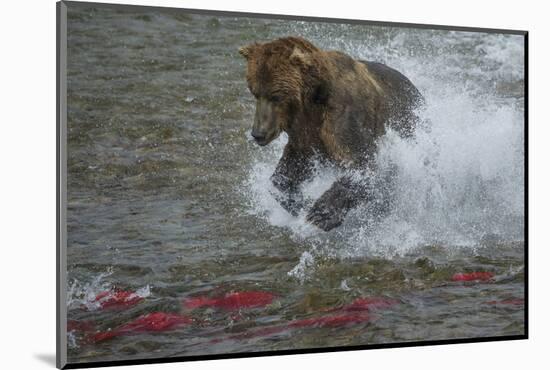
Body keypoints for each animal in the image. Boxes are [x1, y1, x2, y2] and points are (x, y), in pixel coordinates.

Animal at [239, 36, 424, 230]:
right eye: (255, 92)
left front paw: (320, 214)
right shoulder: (304, 133)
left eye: (276, 96)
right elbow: (288, 170)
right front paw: (297, 202)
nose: (258, 133)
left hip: (407, 121)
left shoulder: (342, 118)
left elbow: (361, 164)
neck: (311, 101)